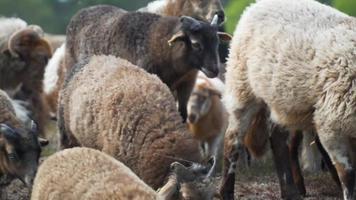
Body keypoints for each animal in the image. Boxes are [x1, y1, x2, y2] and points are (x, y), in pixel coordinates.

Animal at [64, 5, 231, 121]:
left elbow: (182, 114)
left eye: (217, 42)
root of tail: (82, 12)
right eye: (196, 44)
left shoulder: (187, 84)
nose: (214, 70)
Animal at [221, 0, 356, 199]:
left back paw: (290, 191)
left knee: (278, 139)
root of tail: (254, 6)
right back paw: (226, 191)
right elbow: (347, 174)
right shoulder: (332, 125)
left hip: (280, 100)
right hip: (242, 86)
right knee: (232, 140)